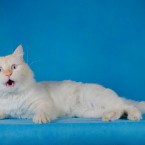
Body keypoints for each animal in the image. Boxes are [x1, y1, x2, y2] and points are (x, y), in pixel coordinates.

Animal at [0, 44, 144, 123]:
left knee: (126, 106)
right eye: (0, 69)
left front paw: (40, 119)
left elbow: (42, 111)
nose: (8, 74)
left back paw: (133, 116)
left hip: (96, 98)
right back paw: (109, 117)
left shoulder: (43, 102)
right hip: (89, 111)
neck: (14, 97)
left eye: (13, 67)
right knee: (119, 109)